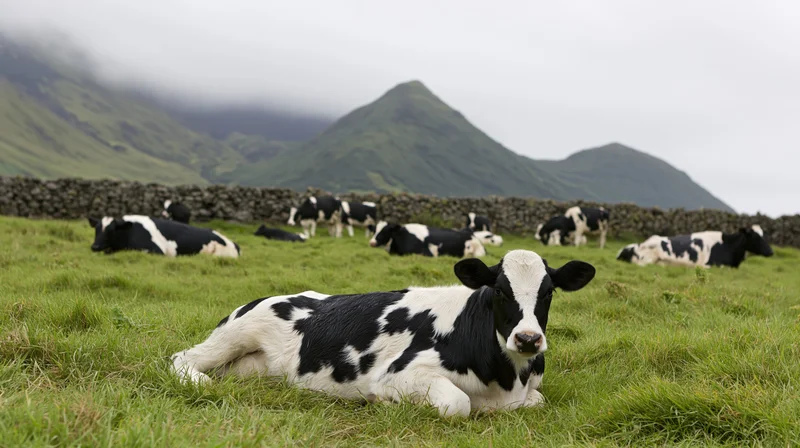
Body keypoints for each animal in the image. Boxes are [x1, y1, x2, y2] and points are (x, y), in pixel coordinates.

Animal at [170, 249, 596, 417]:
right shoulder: (401, 373)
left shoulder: (527, 391)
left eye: (548, 292)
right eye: (500, 291)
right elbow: (457, 403)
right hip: (238, 332)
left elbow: (537, 400)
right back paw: (200, 382)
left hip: (254, 367)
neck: (507, 378)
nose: (527, 339)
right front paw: (386, 403)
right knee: (183, 358)